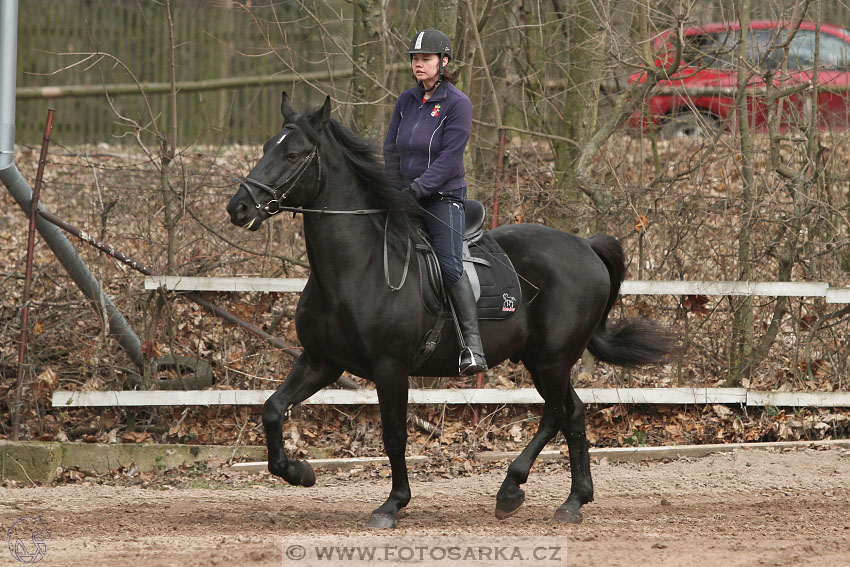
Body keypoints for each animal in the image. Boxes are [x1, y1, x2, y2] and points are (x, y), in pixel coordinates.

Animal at [227, 91, 676, 532]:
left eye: (293, 154)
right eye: (266, 147)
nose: (239, 208)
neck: (357, 266)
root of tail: (586, 246)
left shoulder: (390, 368)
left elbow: (394, 435)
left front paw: (392, 504)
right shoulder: (321, 361)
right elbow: (272, 409)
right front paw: (299, 472)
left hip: (553, 358)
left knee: (556, 413)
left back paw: (515, 489)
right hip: (541, 358)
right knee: (573, 413)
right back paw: (570, 500)